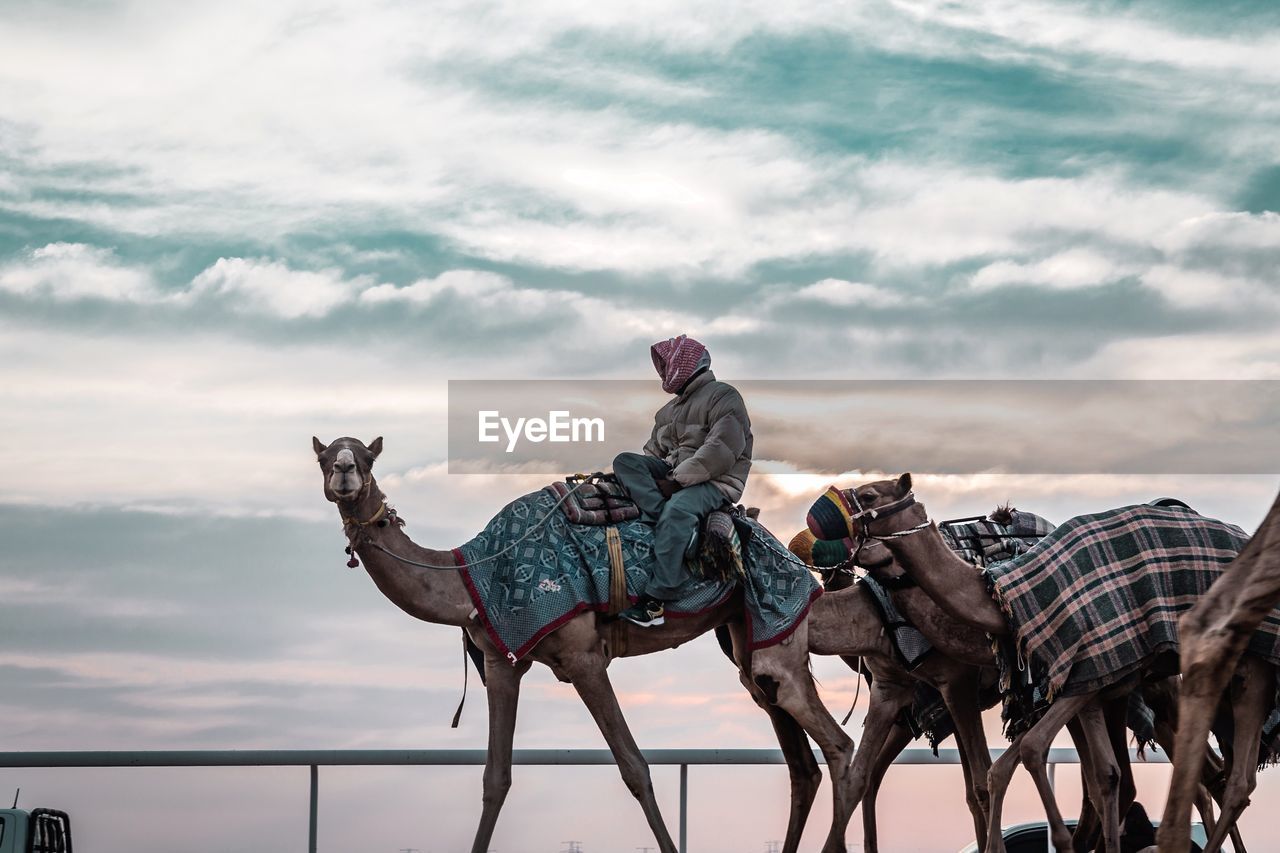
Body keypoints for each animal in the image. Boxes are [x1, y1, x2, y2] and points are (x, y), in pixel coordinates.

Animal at [313, 438, 860, 850]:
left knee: (837, 743)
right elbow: (495, 778)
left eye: (366, 457)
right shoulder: (502, 661)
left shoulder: (583, 657)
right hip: (746, 639)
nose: (344, 472)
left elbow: (635, 768)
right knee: (799, 763)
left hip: (778, 633)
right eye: (324, 455)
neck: (472, 576)